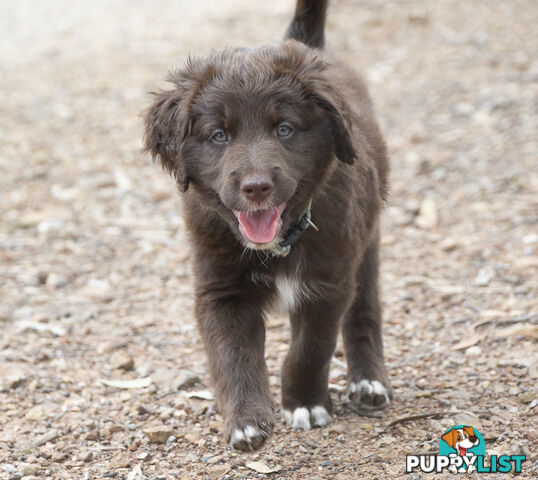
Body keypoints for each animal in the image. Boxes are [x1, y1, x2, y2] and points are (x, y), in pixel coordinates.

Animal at [144, 0, 390, 450]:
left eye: (285, 129)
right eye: (219, 135)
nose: (256, 187)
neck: (278, 243)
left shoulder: (328, 284)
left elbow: (310, 348)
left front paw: (306, 403)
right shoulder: (220, 291)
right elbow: (233, 354)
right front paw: (246, 422)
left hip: (365, 242)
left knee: (365, 308)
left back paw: (368, 382)